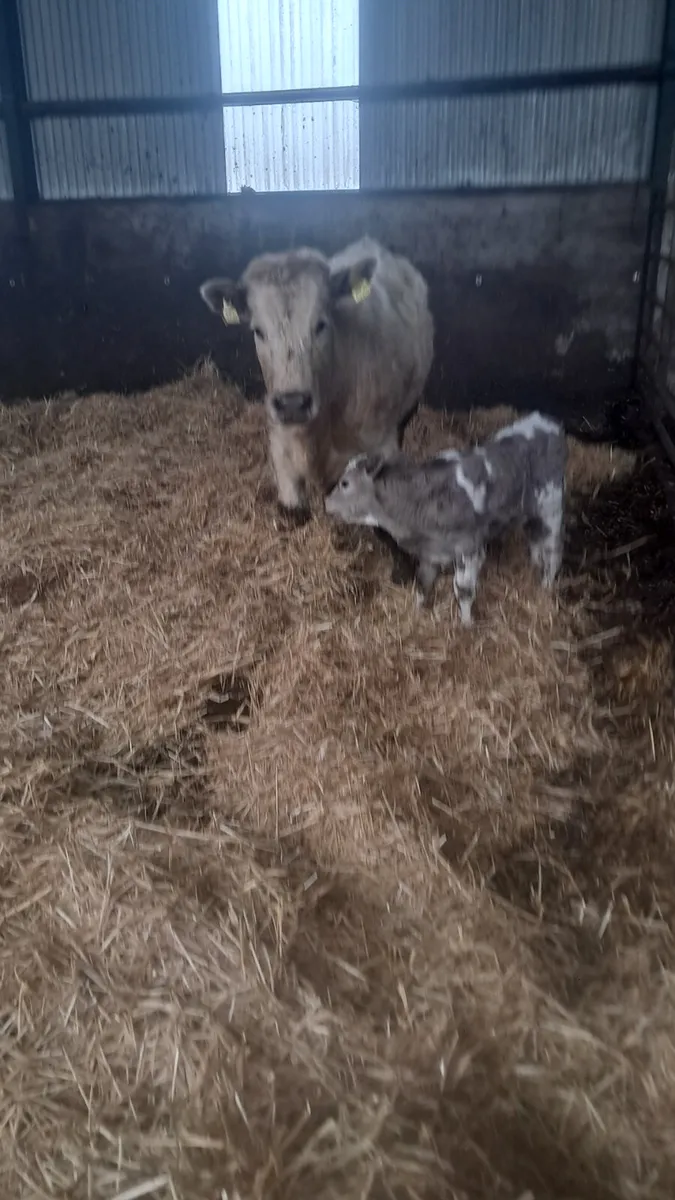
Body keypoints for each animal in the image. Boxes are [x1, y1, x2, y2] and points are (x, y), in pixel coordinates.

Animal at [324, 411, 567, 626]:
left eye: (345, 483)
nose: (326, 502)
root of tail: (546, 421)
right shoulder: (430, 553)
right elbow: (423, 583)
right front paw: (416, 612)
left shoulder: (469, 550)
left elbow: (464, 590)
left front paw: (466, 625)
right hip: (531, 514)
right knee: (535, 540)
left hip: (551, 509)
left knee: (553, 552)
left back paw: (545, 587)